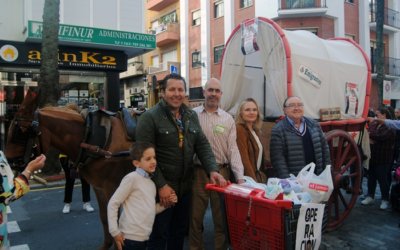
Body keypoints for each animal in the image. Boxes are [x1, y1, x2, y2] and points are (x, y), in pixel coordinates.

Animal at [5, 89, 133, 249]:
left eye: (21, 131)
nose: (8, 163)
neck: (89, 136)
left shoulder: (113, 187)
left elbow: (114, 222)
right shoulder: (99, 188)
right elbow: (105, 218)